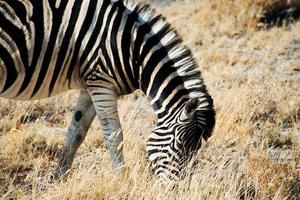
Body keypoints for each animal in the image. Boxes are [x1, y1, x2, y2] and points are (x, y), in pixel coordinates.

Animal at [0, 0, 216, 181]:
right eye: (179, 145)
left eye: (195, 150)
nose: (175, 187)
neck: (131, 50)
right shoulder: (101, 83)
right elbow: (114, 135)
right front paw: (122, 178)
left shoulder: (90, 85)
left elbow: (76, 133)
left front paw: (58, 176)